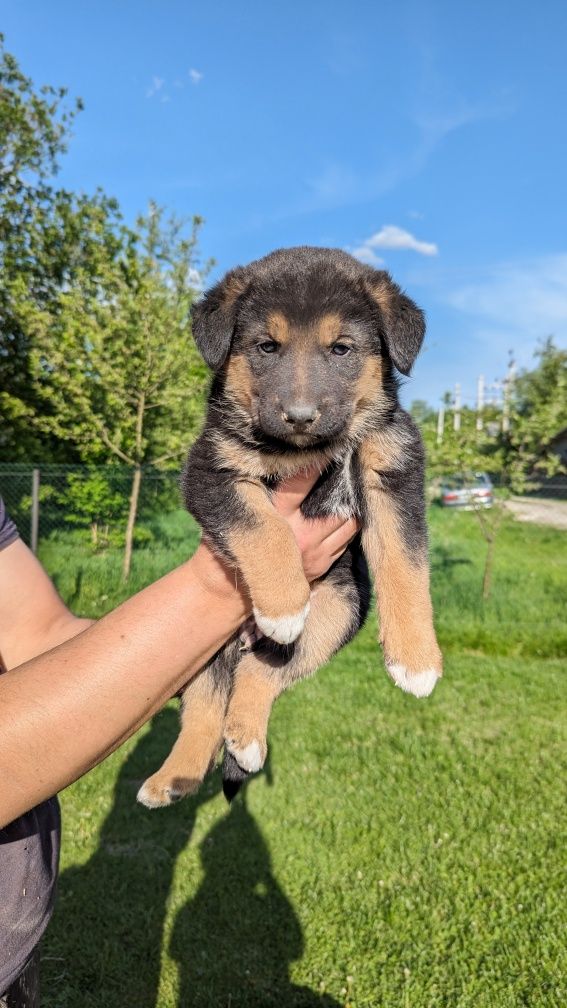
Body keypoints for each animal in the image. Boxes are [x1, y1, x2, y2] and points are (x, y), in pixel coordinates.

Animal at [137, 247, 441, 806]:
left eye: (341, 349)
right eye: (266, 347)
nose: (300, 416)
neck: (307, 451)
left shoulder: (393, 473)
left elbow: (406, 565)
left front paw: (416, 660)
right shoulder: (213, 470)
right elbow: (262, 525)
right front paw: (282, 604)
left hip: (337, 612)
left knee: (260, 671)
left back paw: (245, 740)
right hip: (203, 653)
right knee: (206, 706)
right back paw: (174, 778)